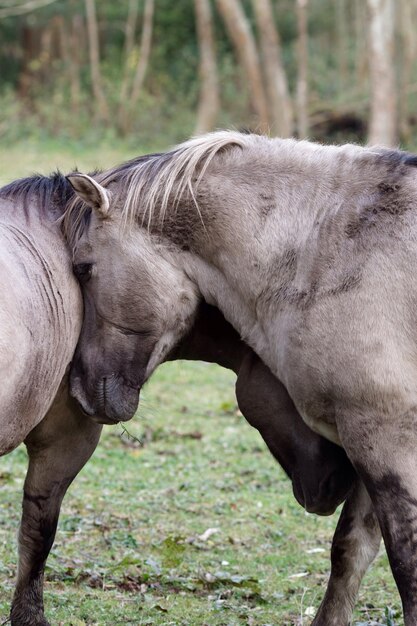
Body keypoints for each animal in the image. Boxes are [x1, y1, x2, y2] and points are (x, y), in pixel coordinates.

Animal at [63, 130, 416, 620]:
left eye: (83, 267)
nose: (79, 390)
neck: (330, 246)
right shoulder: (369, 440)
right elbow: (350, 551)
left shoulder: (385, 437)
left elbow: (405, 564)